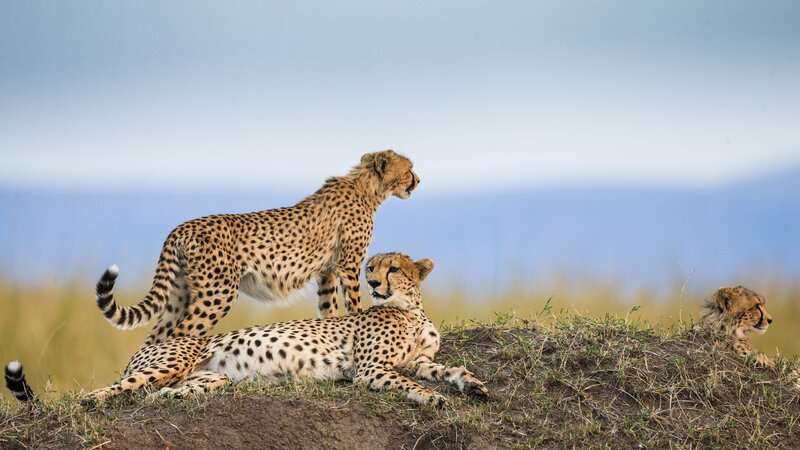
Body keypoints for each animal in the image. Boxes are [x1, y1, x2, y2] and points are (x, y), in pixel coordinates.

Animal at [6, 253, 488, 408]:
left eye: (393, 268)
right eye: (371, 266)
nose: (372, 282)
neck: (411, 309)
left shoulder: (420, 360)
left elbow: (443, 370)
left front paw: (474, 385)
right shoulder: (371, 369)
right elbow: (409, 383)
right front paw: (436, 399)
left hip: (207, 378)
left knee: (158, 394)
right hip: (174, 358)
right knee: (104, 391)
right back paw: (91, 401)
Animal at [95, 150, 418, 344]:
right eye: (409, 169)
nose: (418, 179)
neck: (367, 188)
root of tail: (182, 226)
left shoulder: (326, 271)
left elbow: (328, 309)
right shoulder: (349, 265)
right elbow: (353, 304)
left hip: (180, 293)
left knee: (155, 337)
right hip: (217, 293)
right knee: (182, 333)